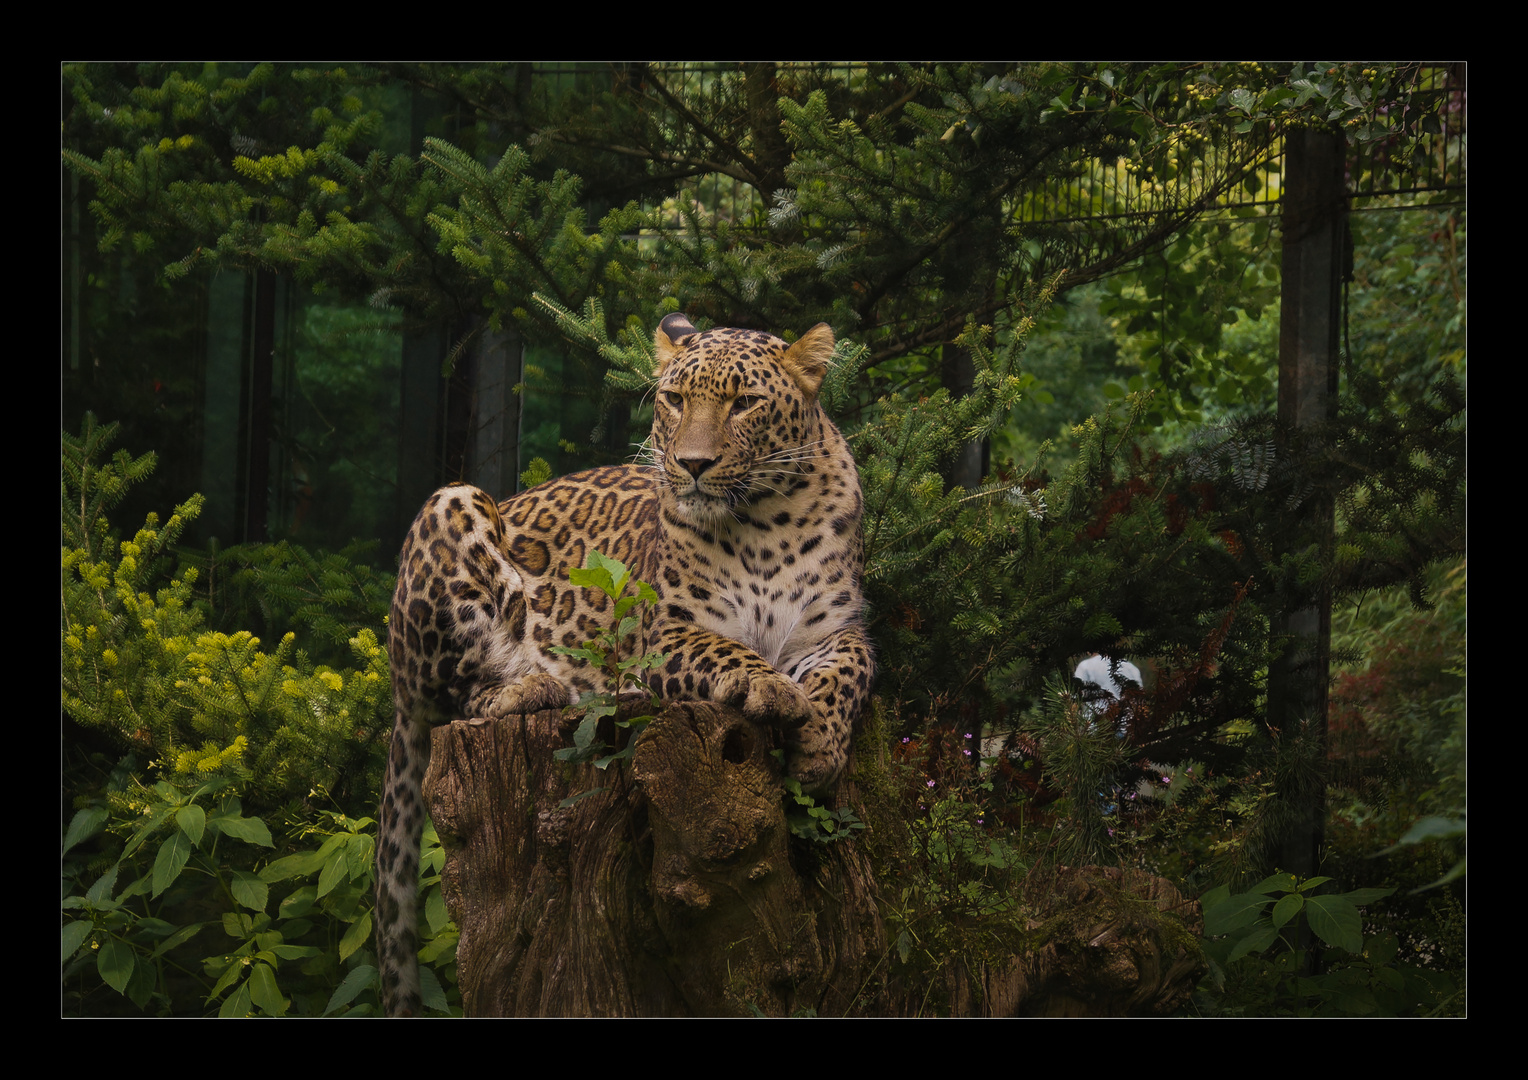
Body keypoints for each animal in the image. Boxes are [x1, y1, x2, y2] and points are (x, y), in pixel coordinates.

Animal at [374, 310, 874, 1014]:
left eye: (744, 403)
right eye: (675, 400)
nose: (692, 464)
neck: (764, 523)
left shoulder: (838, 630)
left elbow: (848, 675)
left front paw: (822, 744)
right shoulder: (661, 634)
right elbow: (728, 649)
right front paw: (771, 689)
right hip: (455, 505)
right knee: (457, 694)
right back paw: (530, 688)